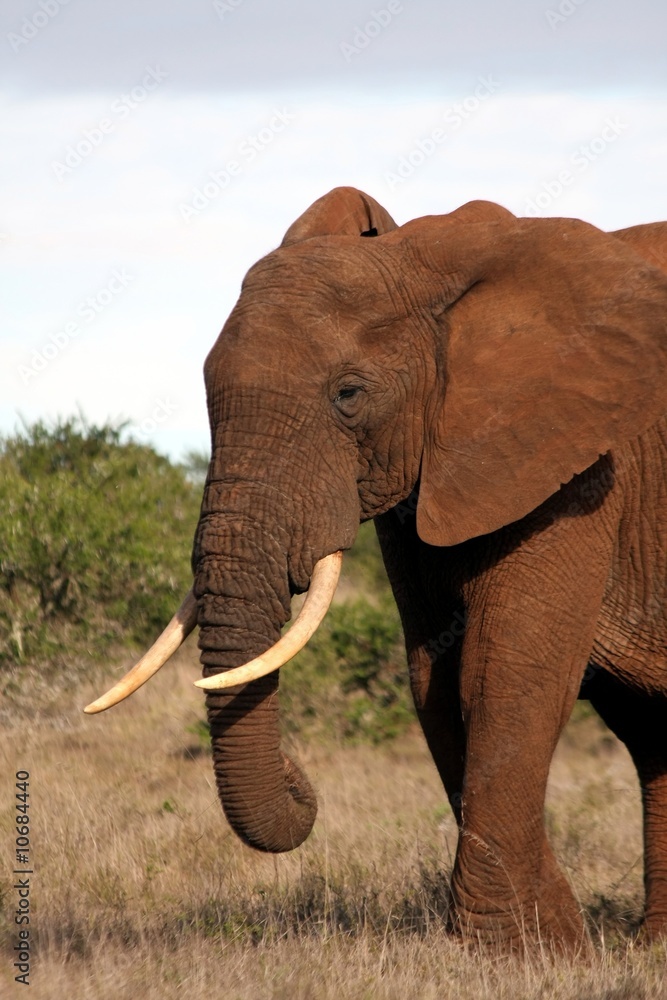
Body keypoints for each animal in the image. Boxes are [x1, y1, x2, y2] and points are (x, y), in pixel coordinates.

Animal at [85, 187, 667, 951]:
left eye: (349, 396)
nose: (301, 779)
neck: (428, 262)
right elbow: (434, 678)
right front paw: (545, 941)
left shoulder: (581, 458)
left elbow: (505, 669)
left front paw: (523, 951)